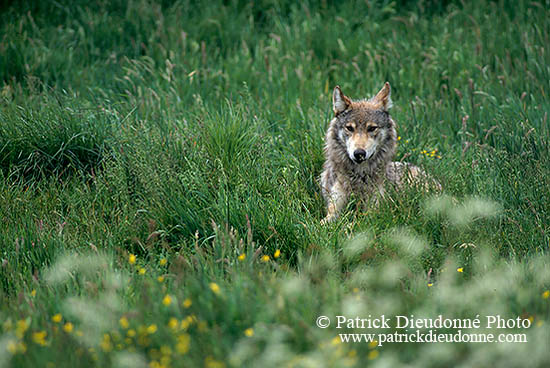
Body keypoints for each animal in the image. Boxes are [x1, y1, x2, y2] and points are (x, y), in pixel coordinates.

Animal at [322, 82, 442, 223]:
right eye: (350, 128)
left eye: (372, 128)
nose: (359, 153)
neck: (359, 177)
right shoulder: (333, 209)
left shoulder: (374, 212)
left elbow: (356, 222)